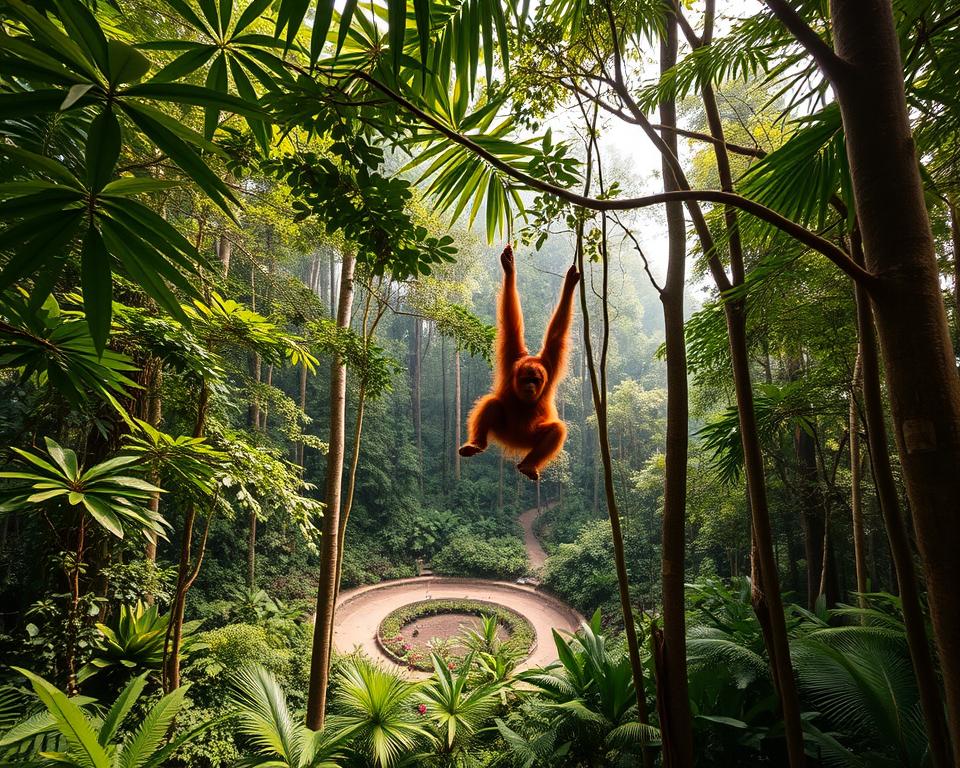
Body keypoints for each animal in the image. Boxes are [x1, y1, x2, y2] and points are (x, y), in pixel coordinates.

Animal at [459, 244, 580, 480]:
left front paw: (570, 284)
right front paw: (509, 269)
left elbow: (556, 335)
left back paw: (529, 465)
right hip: (503, 431)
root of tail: (515, 444)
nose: (530, 387)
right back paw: (476, 445)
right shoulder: (512, 358)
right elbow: (511, 322)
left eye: (535, 380)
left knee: (556, 429)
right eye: (525, 379)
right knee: (492, 403)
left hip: (529, 439)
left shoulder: (550, 364)